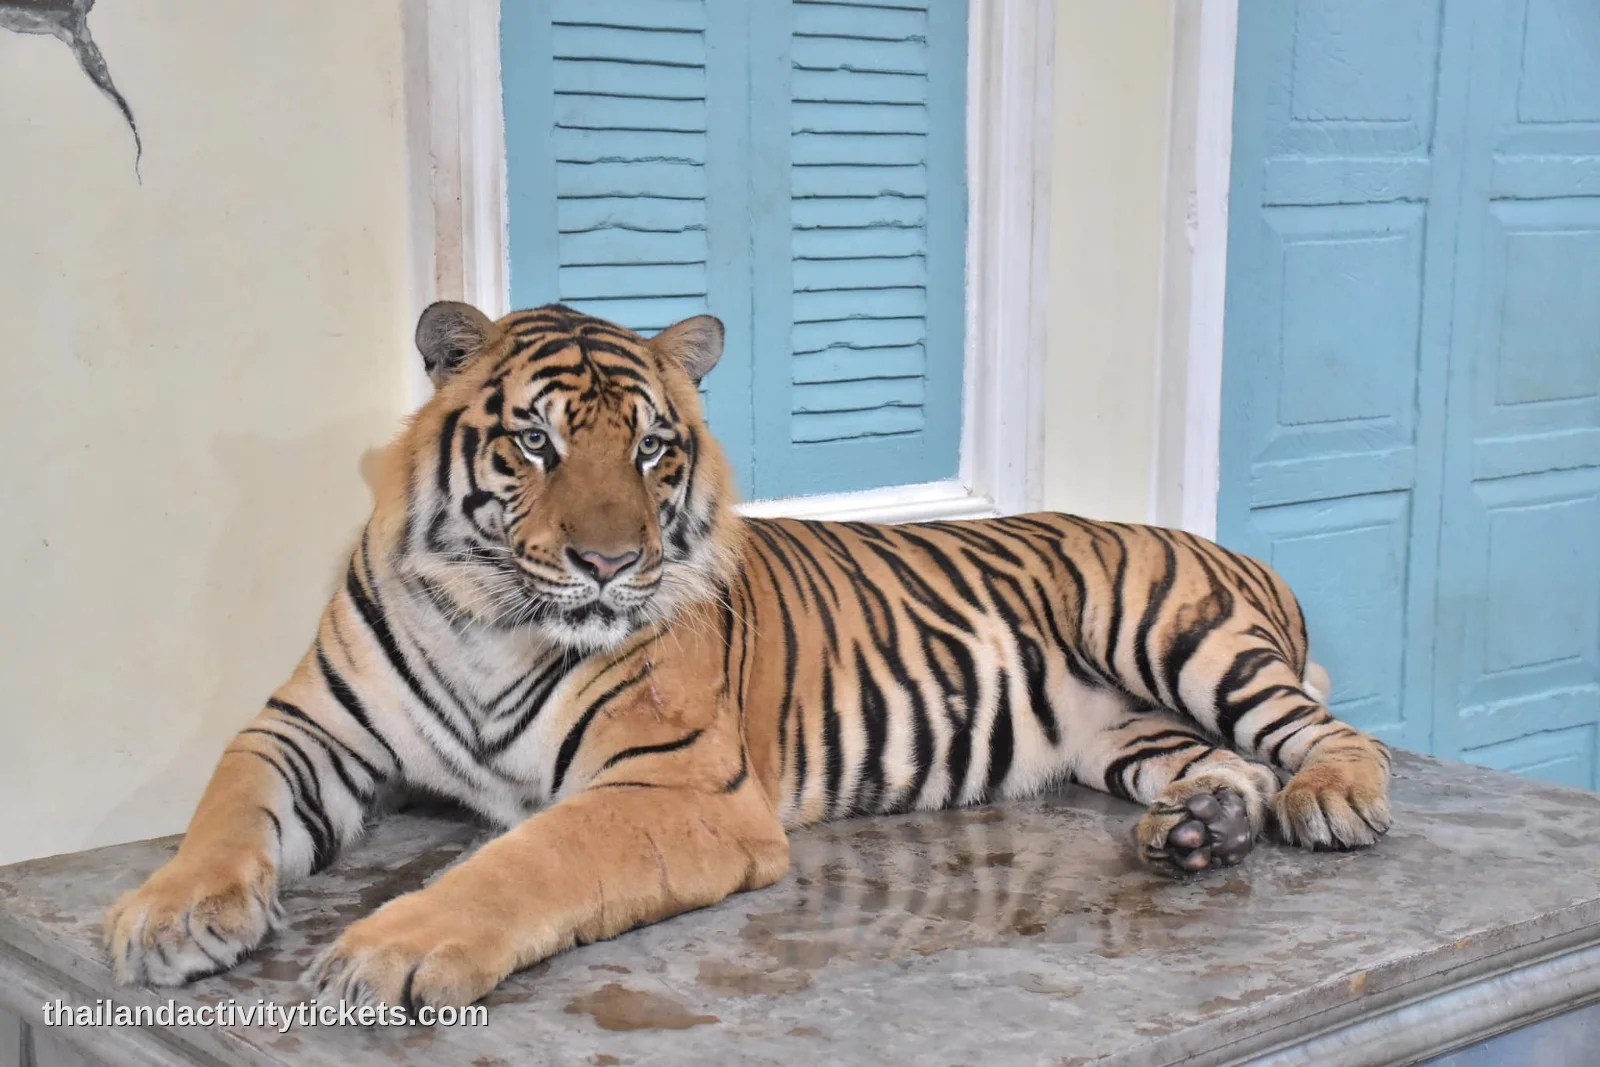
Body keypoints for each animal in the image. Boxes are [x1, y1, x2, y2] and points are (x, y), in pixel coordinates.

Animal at [103, 301, 1392, 1011]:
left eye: (655, 449)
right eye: (536, 443)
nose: (610, 562)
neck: (492, 612)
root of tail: (1224, 545)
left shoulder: (673, 782)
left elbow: (523, 859)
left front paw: (391, 950)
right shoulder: (305, 727)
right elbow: (225, 809)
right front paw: (164, 917)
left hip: (1175, 630)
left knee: (1323, 733)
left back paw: (1331, 801)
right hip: (1117, 728)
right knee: (1231, 763)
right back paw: (1198, 831)